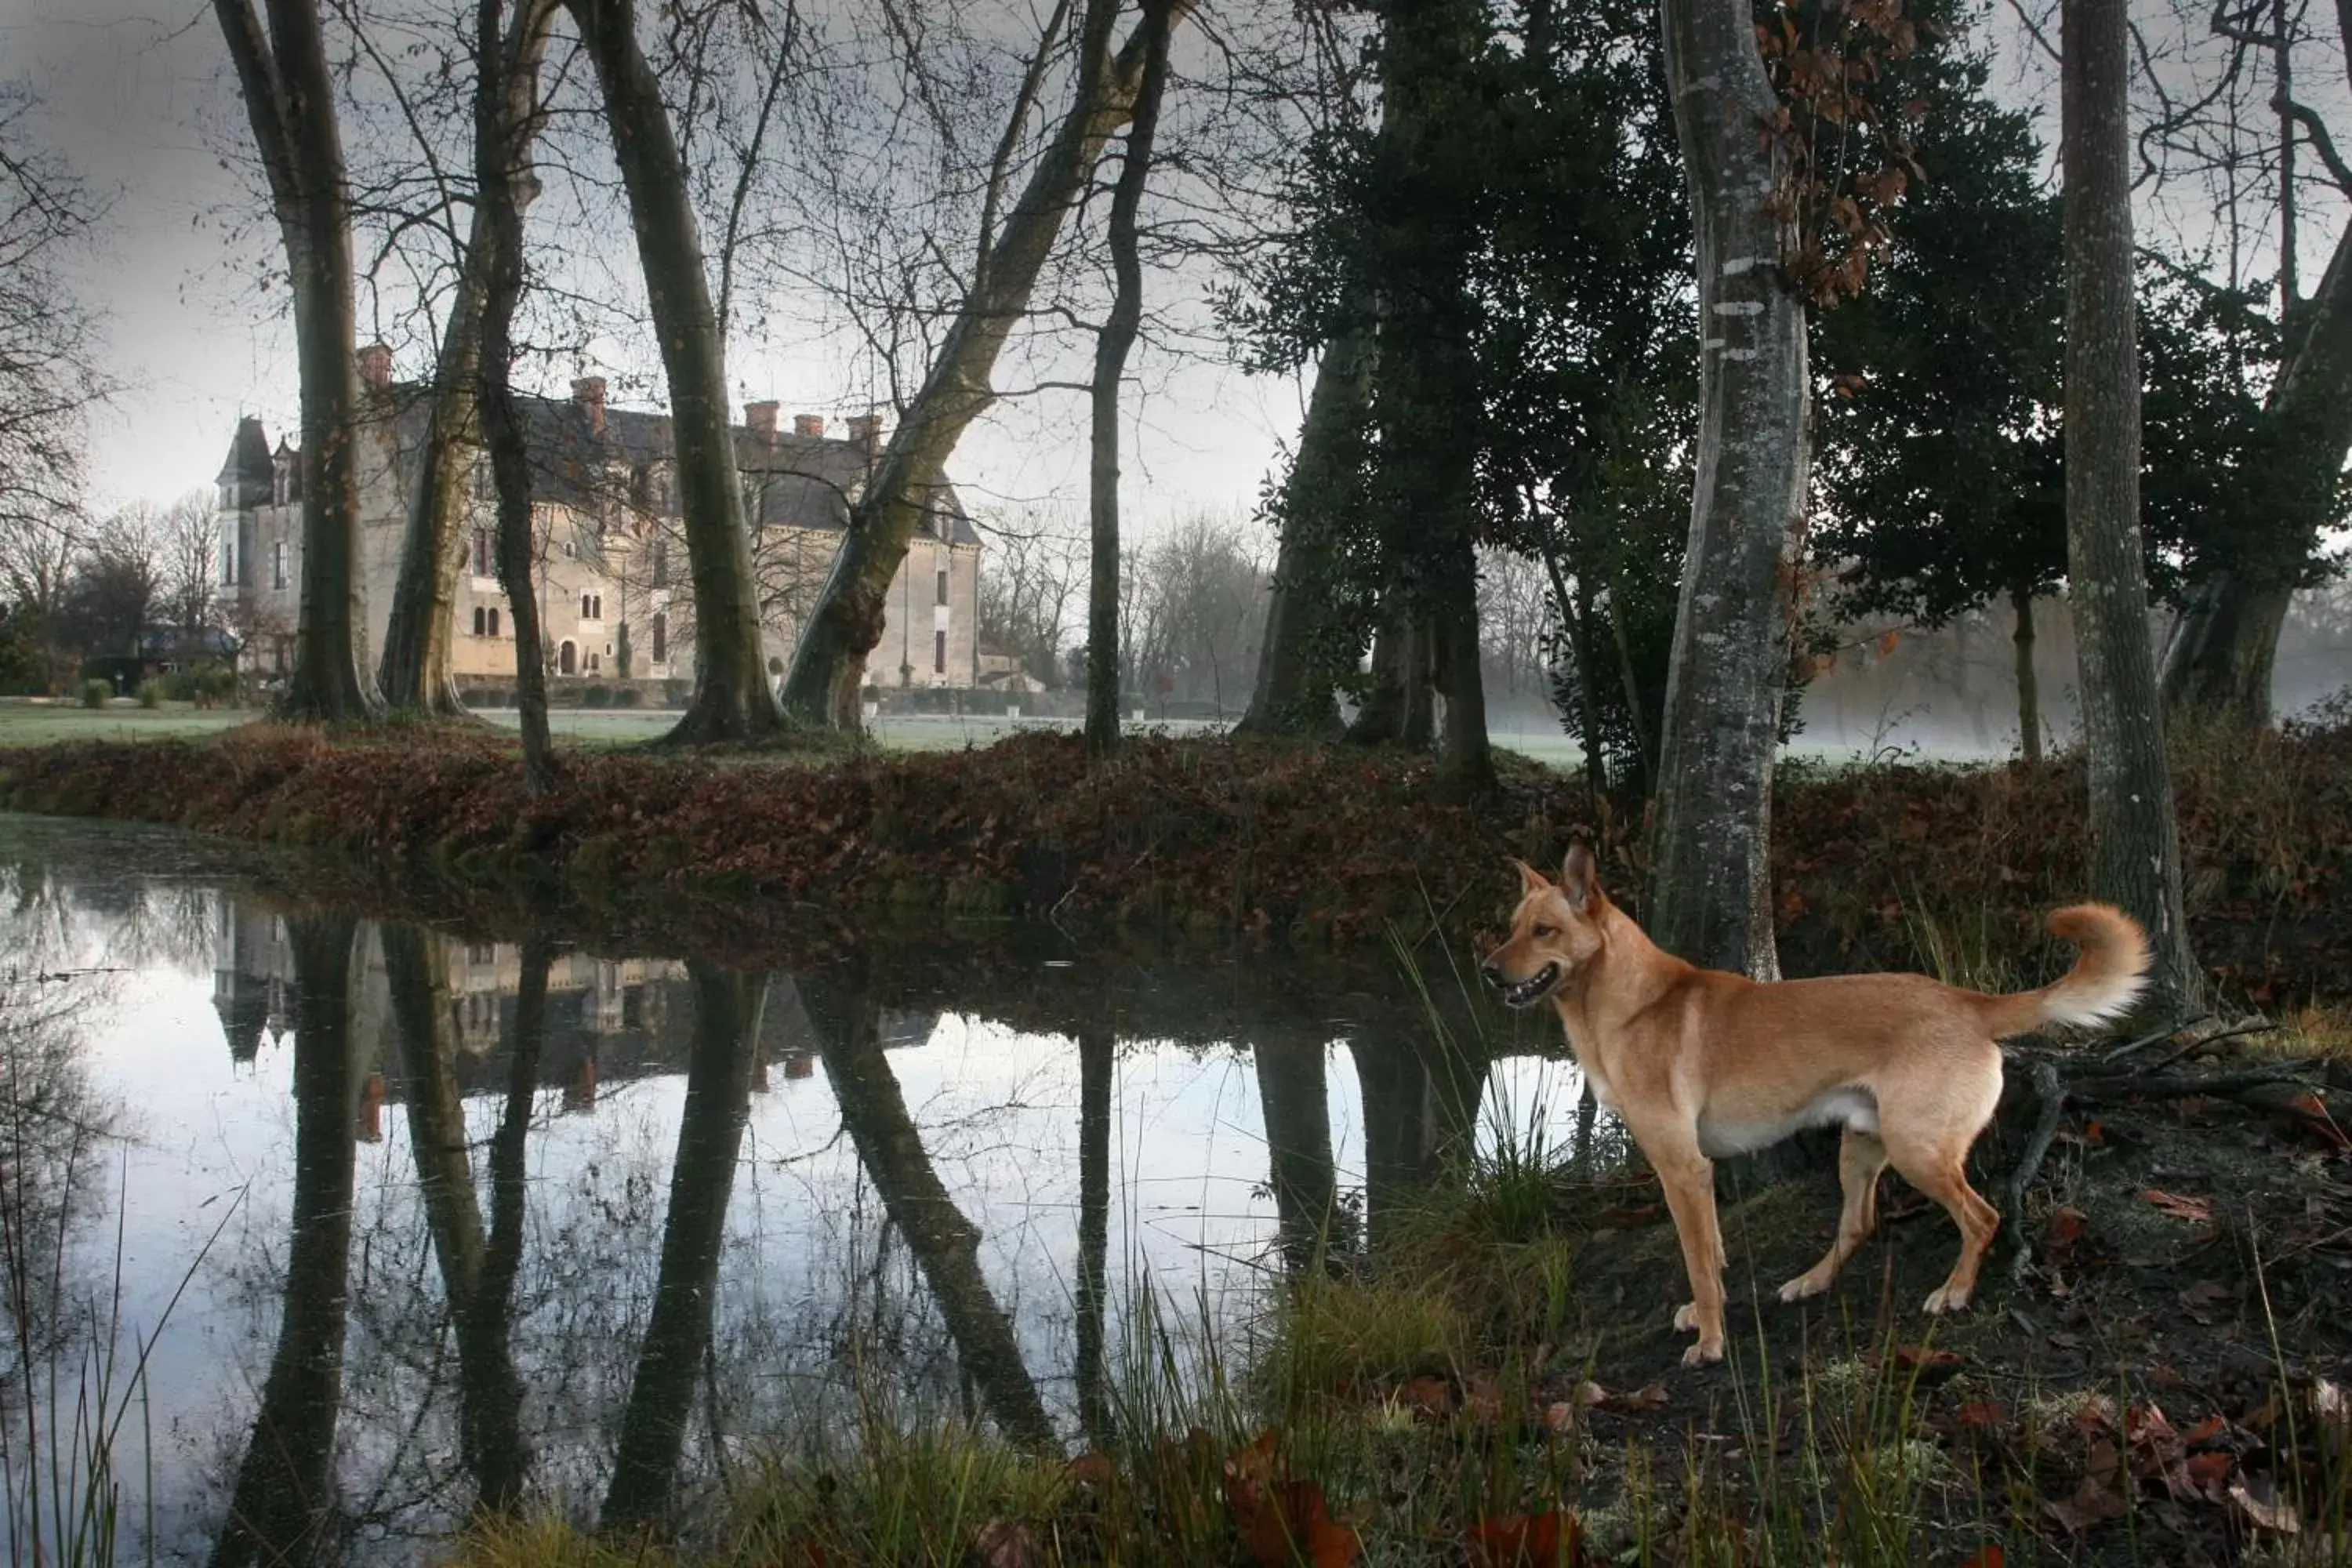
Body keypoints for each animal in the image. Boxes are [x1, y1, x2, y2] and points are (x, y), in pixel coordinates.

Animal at [1486, 841, 2154, 1363]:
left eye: (1543, 931)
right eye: (1512, 926)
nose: (1488, 971)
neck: (1631, 1004)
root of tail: (1969, 1002)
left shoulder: (1682, 1169)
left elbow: (1699, 1262)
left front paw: (1710, 1342)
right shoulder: (1700, 1173)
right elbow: (1715, 1256)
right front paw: (1708, 1314)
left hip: (1917, 1151)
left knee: (1982, 1217)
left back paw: (1955, 1292)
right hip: (1860, 1147)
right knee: (1858, 1225)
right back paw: (1810, 1282)